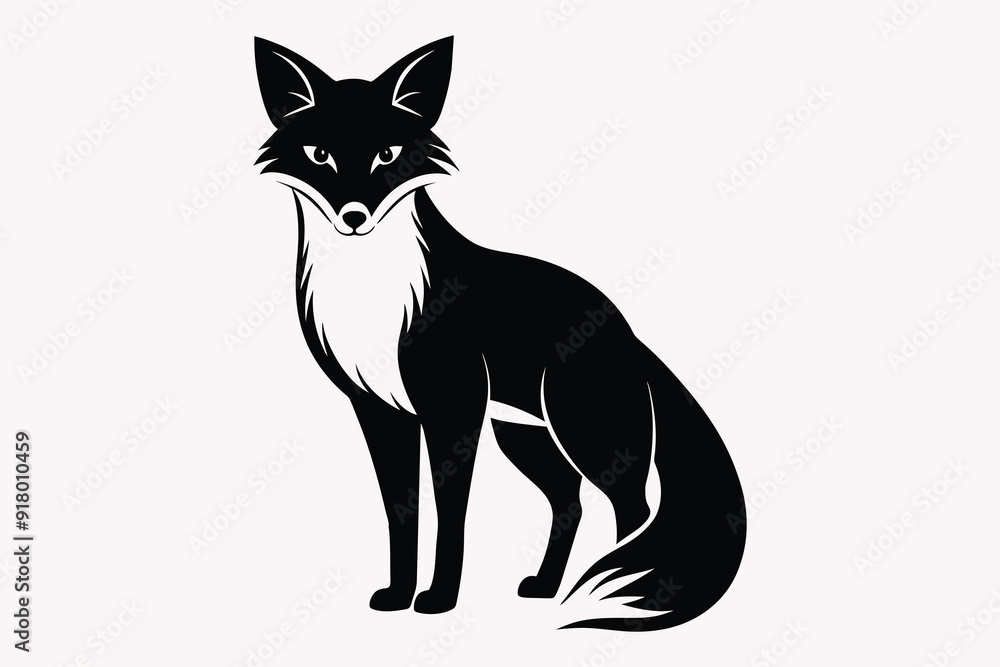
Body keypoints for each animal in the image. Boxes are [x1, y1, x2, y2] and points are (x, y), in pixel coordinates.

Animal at [253, 35, 746, 631]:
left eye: (387, 155)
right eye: (319, 155)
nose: (354, 217)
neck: (371, 291)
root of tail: (627, 330)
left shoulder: (452, 408)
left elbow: (451, 514)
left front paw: (439, 599)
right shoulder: (380, 412)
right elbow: (401, 512)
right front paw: (397, 595)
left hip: (589, 431)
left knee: (633, 508)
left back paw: (610, 589)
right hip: (523, 434)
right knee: (570, 500)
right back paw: (547, 588)